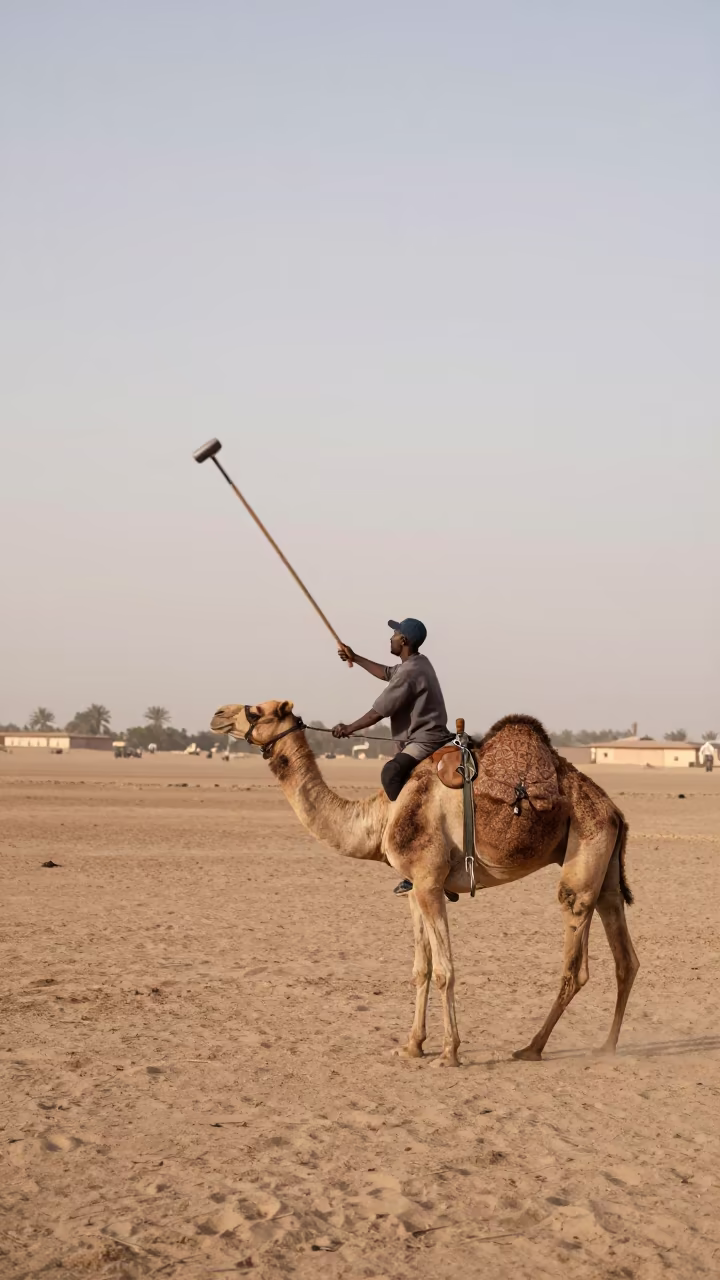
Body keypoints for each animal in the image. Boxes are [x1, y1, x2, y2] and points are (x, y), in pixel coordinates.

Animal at [211, 701, 639, 1066]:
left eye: (255, 709)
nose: (217, 715)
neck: (381, 816)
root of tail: (615, 810)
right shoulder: (414, 888)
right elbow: (422, 968)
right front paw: (412, 1045)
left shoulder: (431, 884)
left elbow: (446, 969)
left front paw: (449, 1053)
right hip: (606, 875)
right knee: (625, 958)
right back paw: (606, 1046)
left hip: (583, 857)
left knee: (575, 960)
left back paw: (532, 1047)